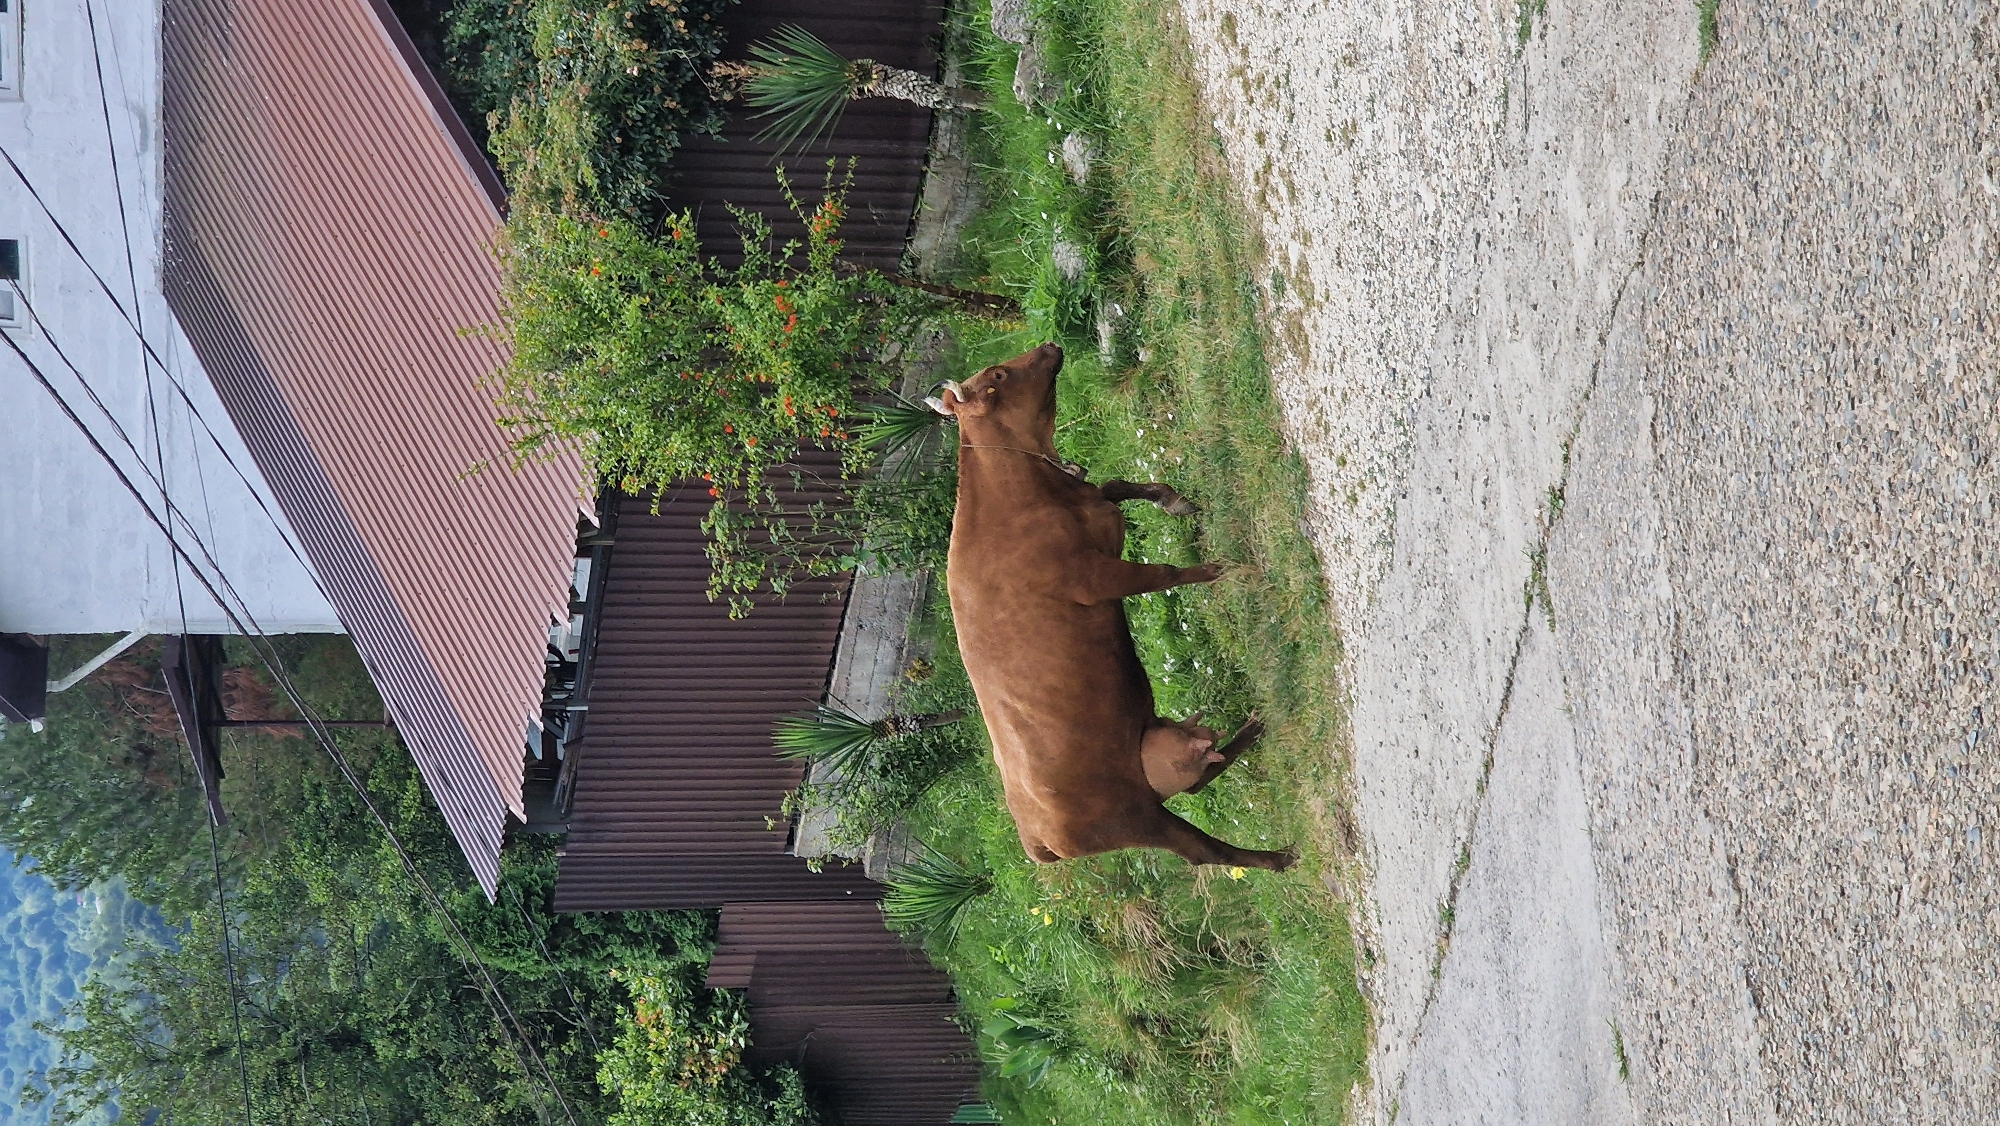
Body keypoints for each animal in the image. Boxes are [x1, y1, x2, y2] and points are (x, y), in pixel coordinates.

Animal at [928, 342, 1296, 871]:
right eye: (998, 374)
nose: (1049, 345)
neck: (1028, 494)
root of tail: (1031, 836)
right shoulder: (1094, 579)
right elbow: (1164, 573)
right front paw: (1217, 570)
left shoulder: (1098, 507)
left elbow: (1118, 484)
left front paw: (1173, 500)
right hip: (1135, 818)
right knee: (1203, 849)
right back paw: (1276, 858)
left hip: (1150, 757)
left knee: (1200, 777)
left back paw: (1251, 729)